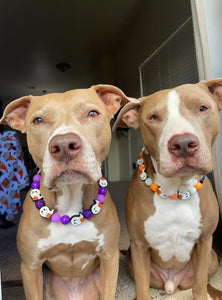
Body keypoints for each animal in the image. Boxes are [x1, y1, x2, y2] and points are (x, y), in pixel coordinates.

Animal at [0, 84, 134, 300]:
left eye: (92, 113)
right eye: (38, 120)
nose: (63, 145)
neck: (70, 205)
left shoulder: (109, 257)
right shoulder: (30, 267)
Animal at [113, 79, 222, 300]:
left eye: (202, 108)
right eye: (153, 117)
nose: (183, 144)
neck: (176, 191)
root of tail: (173, 284)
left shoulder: (205, 241)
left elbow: (199, 286)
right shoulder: (138, 246)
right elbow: (143, 289)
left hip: (212, 258)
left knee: (206, 281)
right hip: (131, 260)